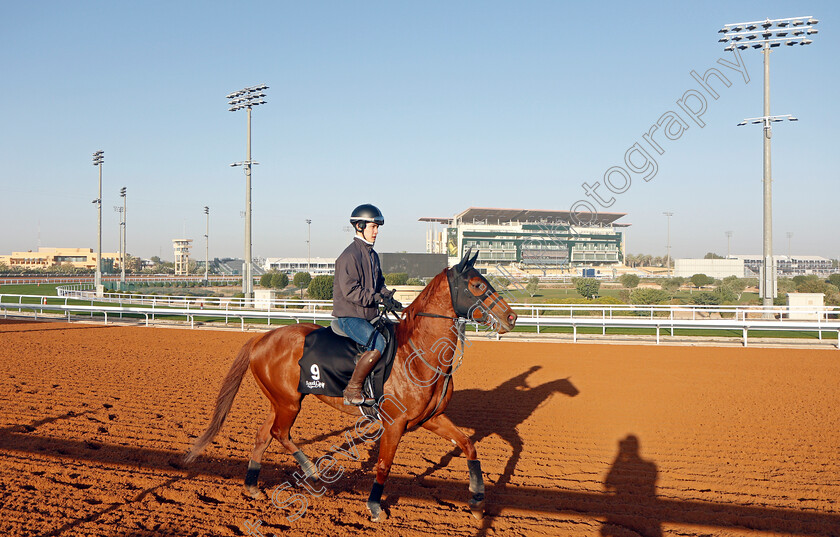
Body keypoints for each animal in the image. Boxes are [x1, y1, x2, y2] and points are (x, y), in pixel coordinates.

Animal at [185, 251, 520, 520]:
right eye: (477, 285)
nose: (512, 316)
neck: (417, 354)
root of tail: (261, 338)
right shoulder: (394, 423)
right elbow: (384, 465)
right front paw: (374, 506)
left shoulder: (432, 418)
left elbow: (469, 446)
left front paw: (477, 502)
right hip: (289, 403)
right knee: (280, 433)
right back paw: (312, 470)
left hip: (280, 401)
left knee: (263, 436)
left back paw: (253, 487)